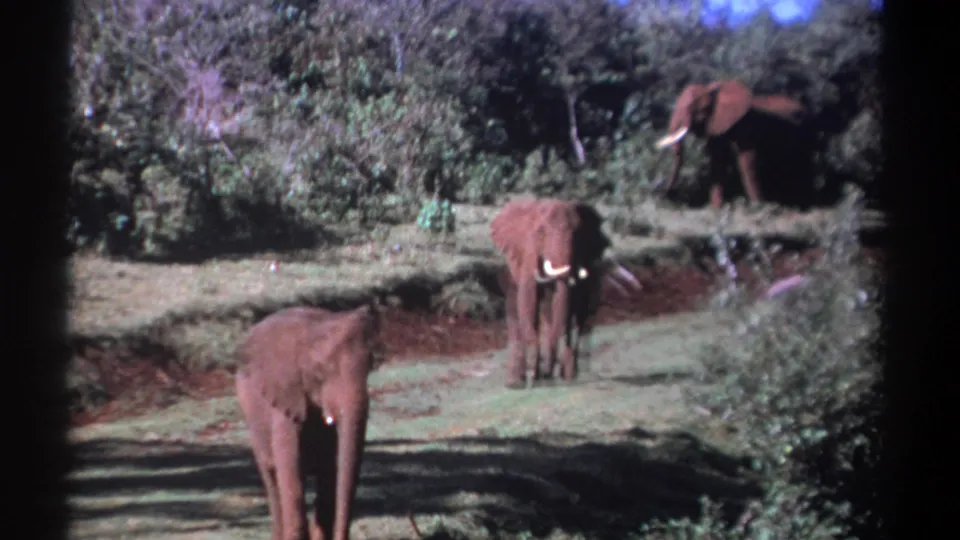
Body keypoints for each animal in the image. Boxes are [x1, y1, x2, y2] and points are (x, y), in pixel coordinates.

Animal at [235, 304, 383, 540]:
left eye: (371, 365)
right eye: (319, 371)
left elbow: (330, 468)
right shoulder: (285, 397)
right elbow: (291, 468)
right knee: (272, 478)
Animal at [490, 197, 642, 388]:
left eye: (577, 234)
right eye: (540, 232)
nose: (545, 375)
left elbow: (567, 307)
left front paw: (550, 375)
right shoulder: (527, 253)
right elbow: (529, 300)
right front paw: (535, 377)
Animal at [655, 79, 816, 208]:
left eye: (692, 108)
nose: (664, 195)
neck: (713, 89)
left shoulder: (746, 123)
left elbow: (746, 159)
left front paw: (759, 207)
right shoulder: (716, 124)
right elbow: (718, 160)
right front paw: (716, 208)